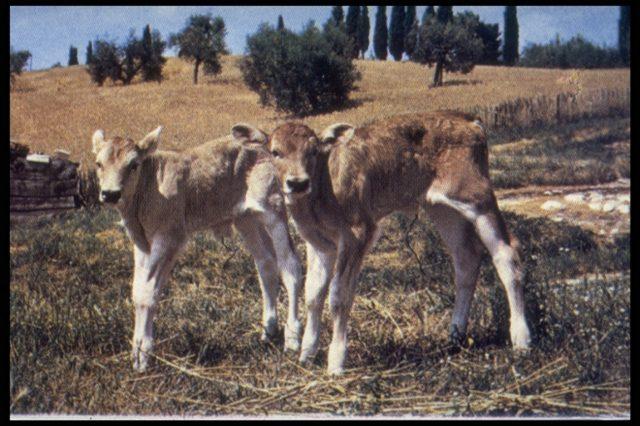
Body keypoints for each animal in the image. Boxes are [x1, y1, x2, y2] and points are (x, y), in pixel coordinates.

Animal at [90, 125, 304, 372]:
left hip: (273, 206)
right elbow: (137, 291)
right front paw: (136, 349)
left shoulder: (169, 237)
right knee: (266, 263)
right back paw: (268, 331)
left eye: (133, 164)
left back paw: (292, 339)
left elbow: (148, 293)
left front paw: (143, 354)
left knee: (290, 266)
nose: (110, 193)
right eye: (98, 164)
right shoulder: (142, 243)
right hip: (245, 218)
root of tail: (265, 140)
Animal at [234, 111, 528, 374]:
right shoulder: (317, 241)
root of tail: (470, 121)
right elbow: (313, 294)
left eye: (313, 151)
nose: (297, 183)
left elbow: (338, 295)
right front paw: (306, 353)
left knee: (506, 253)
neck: (323, 190)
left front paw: (335, 362)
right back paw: (455, 335)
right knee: (466, 258)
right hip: (442, 208)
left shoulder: (357, 232)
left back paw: (521, 339)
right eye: (275, 152)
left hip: (476, 196)